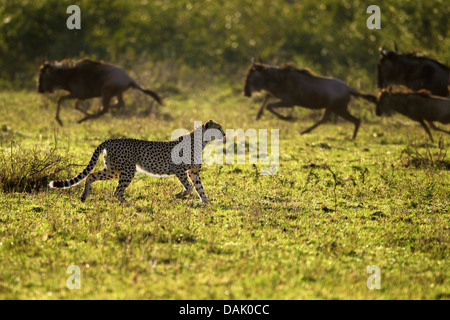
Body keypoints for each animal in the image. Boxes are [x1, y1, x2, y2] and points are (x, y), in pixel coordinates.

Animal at [49, 119, 225, 204]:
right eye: (218, 127)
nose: (224, 133)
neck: (202, 141)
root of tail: (111, 139)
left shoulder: (194, 172)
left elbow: (199, 188)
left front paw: (207, 203)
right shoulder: (179, 169)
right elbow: (188, 188)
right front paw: (178, 196)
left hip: (113, 170)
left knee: (91, 176)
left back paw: (84, 196)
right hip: (128, 170)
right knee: (117, 191)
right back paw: (129, 205)